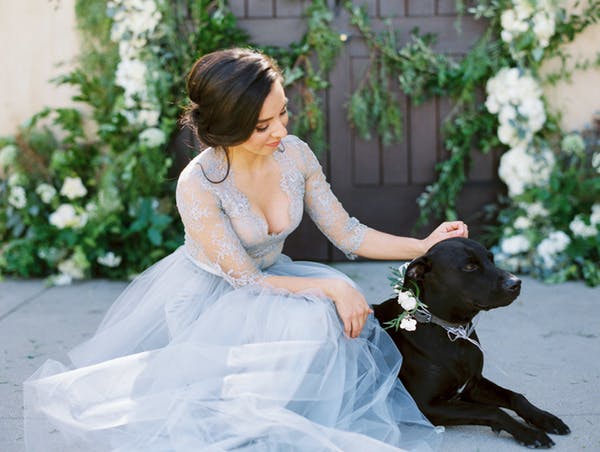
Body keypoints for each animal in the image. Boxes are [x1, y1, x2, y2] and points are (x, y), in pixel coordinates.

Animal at [372, 238, 568, 446]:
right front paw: (529, 433)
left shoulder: (473, 385)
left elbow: (516, 396)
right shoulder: (425, 406)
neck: (452, 331)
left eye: (491, 259)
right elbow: (492, 411)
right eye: (469, 266)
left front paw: (545, 419)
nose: (516, 282)